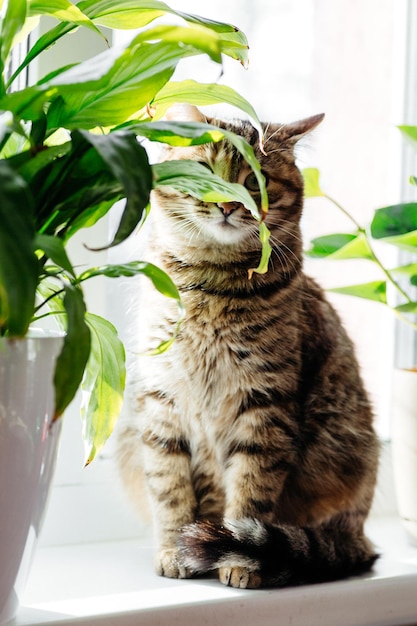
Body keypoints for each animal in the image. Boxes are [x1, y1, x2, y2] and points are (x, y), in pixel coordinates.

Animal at [116, 105, 376, 588]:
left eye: (258, 181)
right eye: (205, 171)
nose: (228, 205)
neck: (209, 283)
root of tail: (361, 536)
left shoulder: (264, 404)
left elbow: (250, 494)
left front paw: (238, 560)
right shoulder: (162, 401)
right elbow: (169, 489)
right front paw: (175, 549)